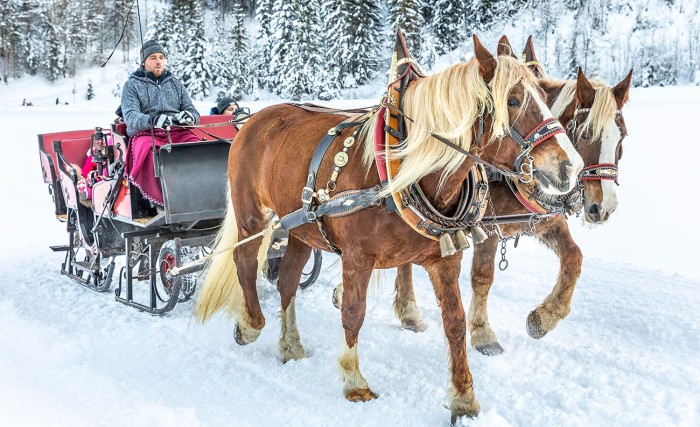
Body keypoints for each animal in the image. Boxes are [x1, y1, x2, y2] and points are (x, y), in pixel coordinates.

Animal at [194, 34, 584, 423]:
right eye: (513, 100)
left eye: (545, 96)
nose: (571, 167)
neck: (404, 171)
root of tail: (254, 118)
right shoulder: (357, 258)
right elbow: (353, 313)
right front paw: (354, 380)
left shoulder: (445, 259)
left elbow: (454, 322)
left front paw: (463, 396)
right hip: (251, 213)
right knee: (245, 261)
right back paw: (250, 324)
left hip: (302, 225)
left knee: (288, 278)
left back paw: (291, 345)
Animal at [334, 36, 633, 357]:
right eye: (587, 133)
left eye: (622, 136)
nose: (603, 207)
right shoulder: (487, 228)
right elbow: (483, 276)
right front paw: (482, 332)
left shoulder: (546, 220)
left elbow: (574, 258)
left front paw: (544, 317)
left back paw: (405, 310)